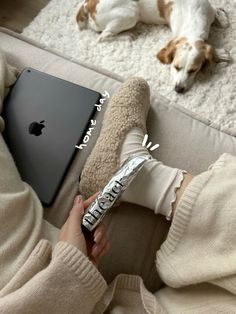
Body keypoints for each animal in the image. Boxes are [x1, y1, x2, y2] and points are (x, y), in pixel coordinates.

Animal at [76, 0, 230, 92]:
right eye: (176, 67)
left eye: (193, 70)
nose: (178, 89)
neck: (194, 17)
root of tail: (87, 4)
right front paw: (220, 53)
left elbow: (220, 17)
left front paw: (222, 17)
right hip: (131, 13)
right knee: (103, 37)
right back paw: (127, 35)